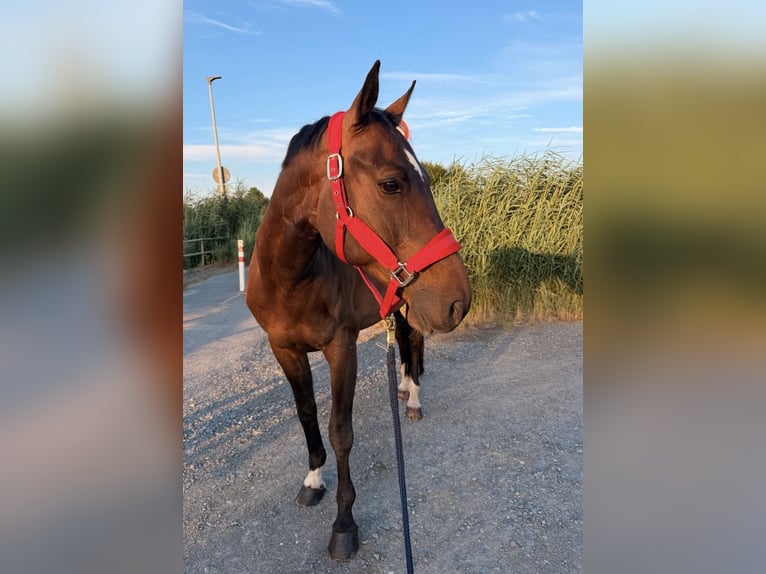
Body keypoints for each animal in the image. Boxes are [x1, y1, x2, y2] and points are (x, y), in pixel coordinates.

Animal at [245, 60, 471, 561]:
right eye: (391, 183)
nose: (459, 301)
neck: (292, 278)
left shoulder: (341, 349)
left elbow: (341, 431)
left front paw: (344, 524)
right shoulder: (284, 350)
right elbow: (307, 415)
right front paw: (313, 481)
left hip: (410, 308)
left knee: (413, 343)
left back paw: (414, 397)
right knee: (406, 344)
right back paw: (404, 389)